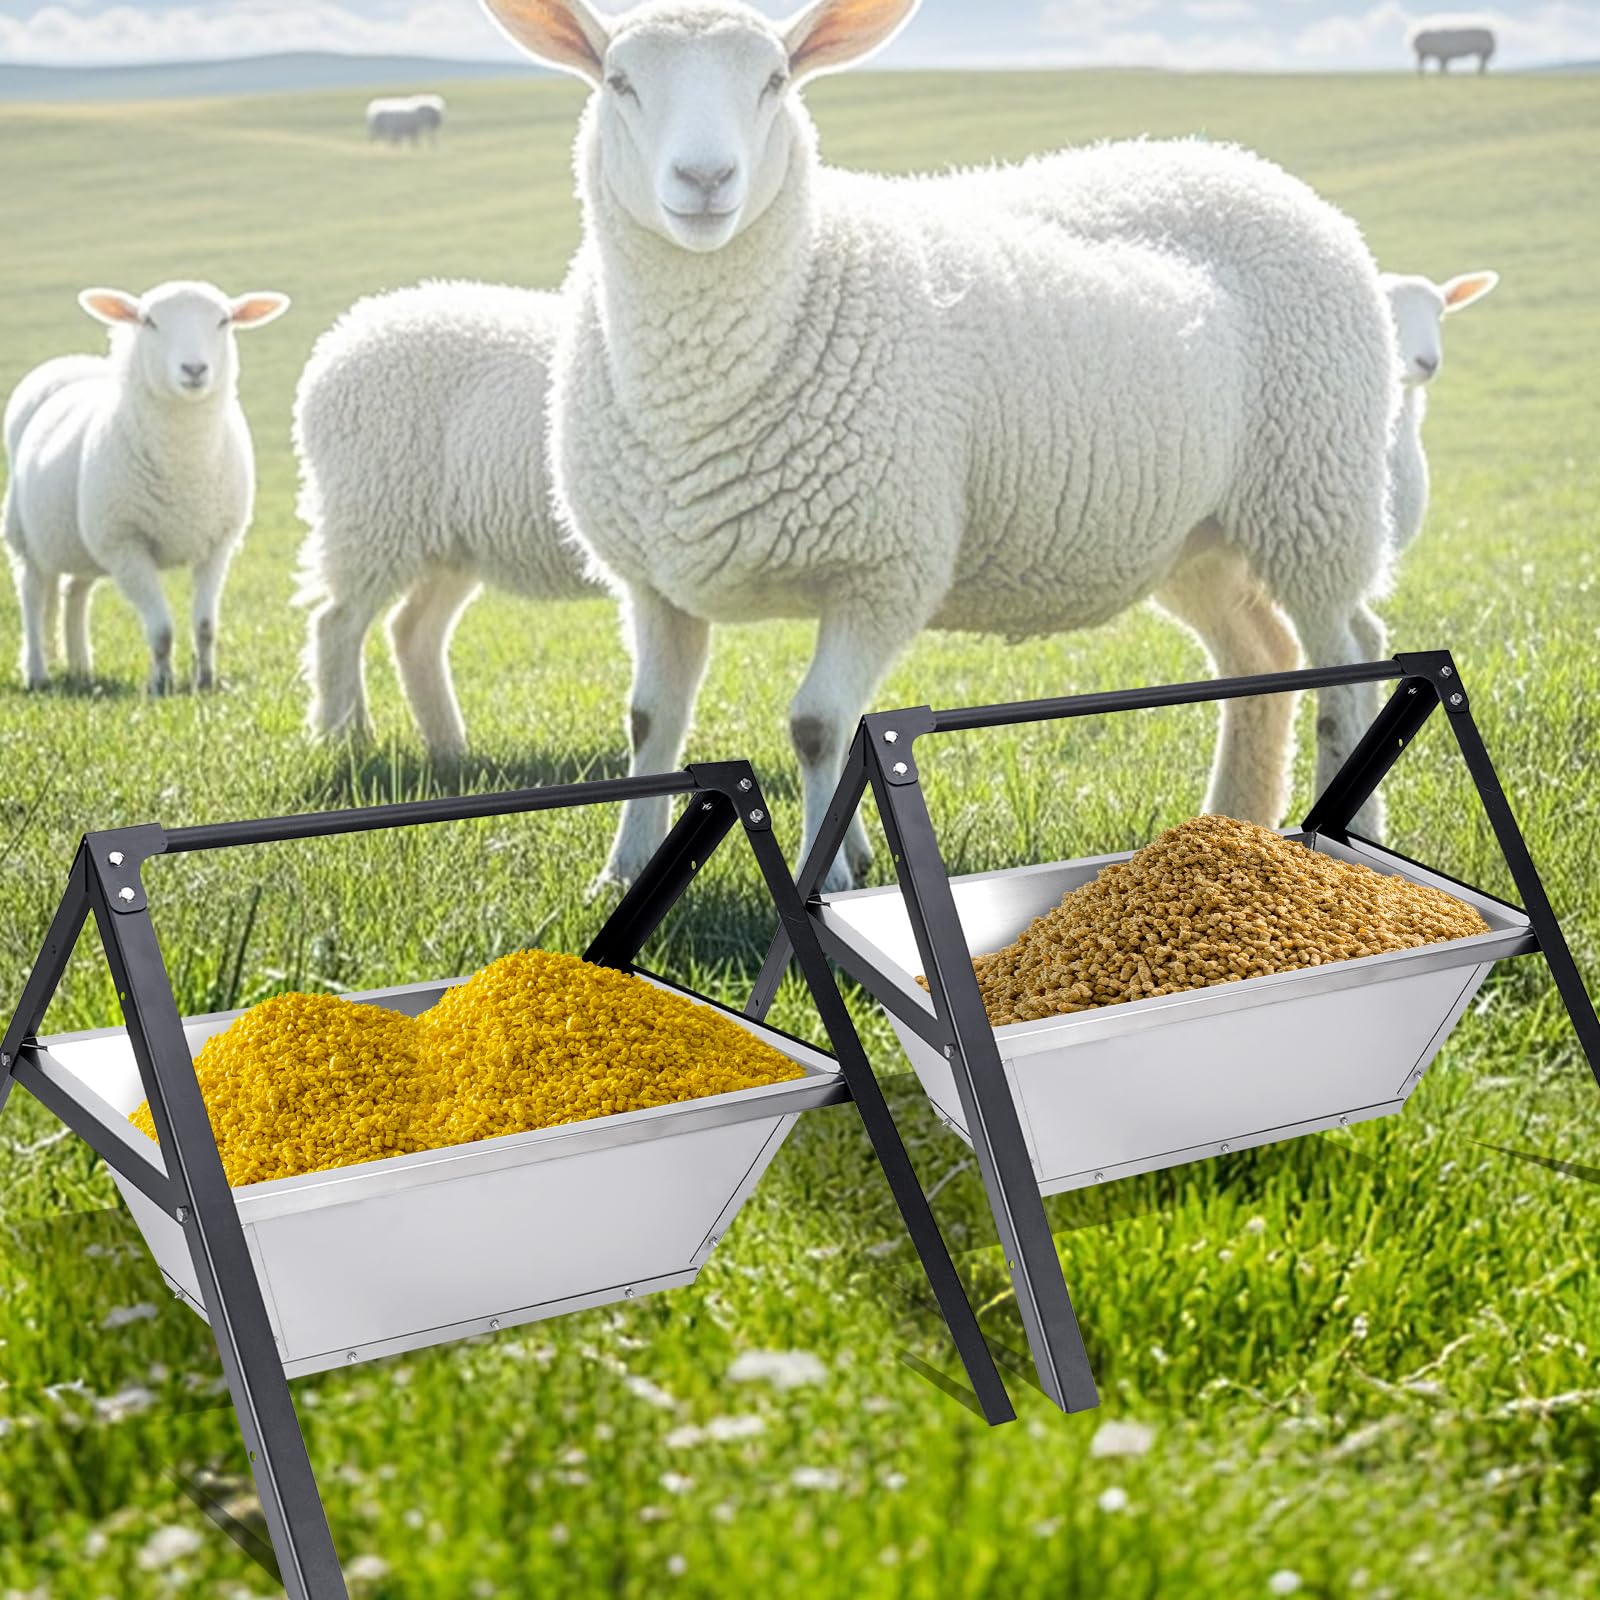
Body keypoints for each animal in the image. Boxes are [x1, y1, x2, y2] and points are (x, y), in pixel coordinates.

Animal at [3, 281, 289, 694]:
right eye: (149, 321)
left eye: (223, 321)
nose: (194, 369)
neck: (185, 467)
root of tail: (73, 362)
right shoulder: (126, 545)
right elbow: (162, 631)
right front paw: (161, 685)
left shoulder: (218, 544)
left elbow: (206, 626)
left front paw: (205, 682)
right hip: (25, 536)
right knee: (31, 596)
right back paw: (37, 673)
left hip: (84, 541)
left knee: (74, 592)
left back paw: (81, 668)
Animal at [294, 280, 602, 755]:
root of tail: (339, 340)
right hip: (373, 515)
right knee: (337, 625)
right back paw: (346, 738)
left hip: (447, 544)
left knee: (411, 630)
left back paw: (448, 749)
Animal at [483, 0, 1401, 894]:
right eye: (619, 81)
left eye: (775, 80)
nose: (705, 180)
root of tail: (1256, 169)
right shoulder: (654, 579)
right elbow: (652, 720)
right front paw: (624, 870)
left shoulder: (883, 564)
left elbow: (816, 724)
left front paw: (827, 874)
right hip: (1197, 537)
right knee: (1265, 656)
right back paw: (1235, 825)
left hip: (1316, 490)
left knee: (1349, 654)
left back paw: (1348, 834)